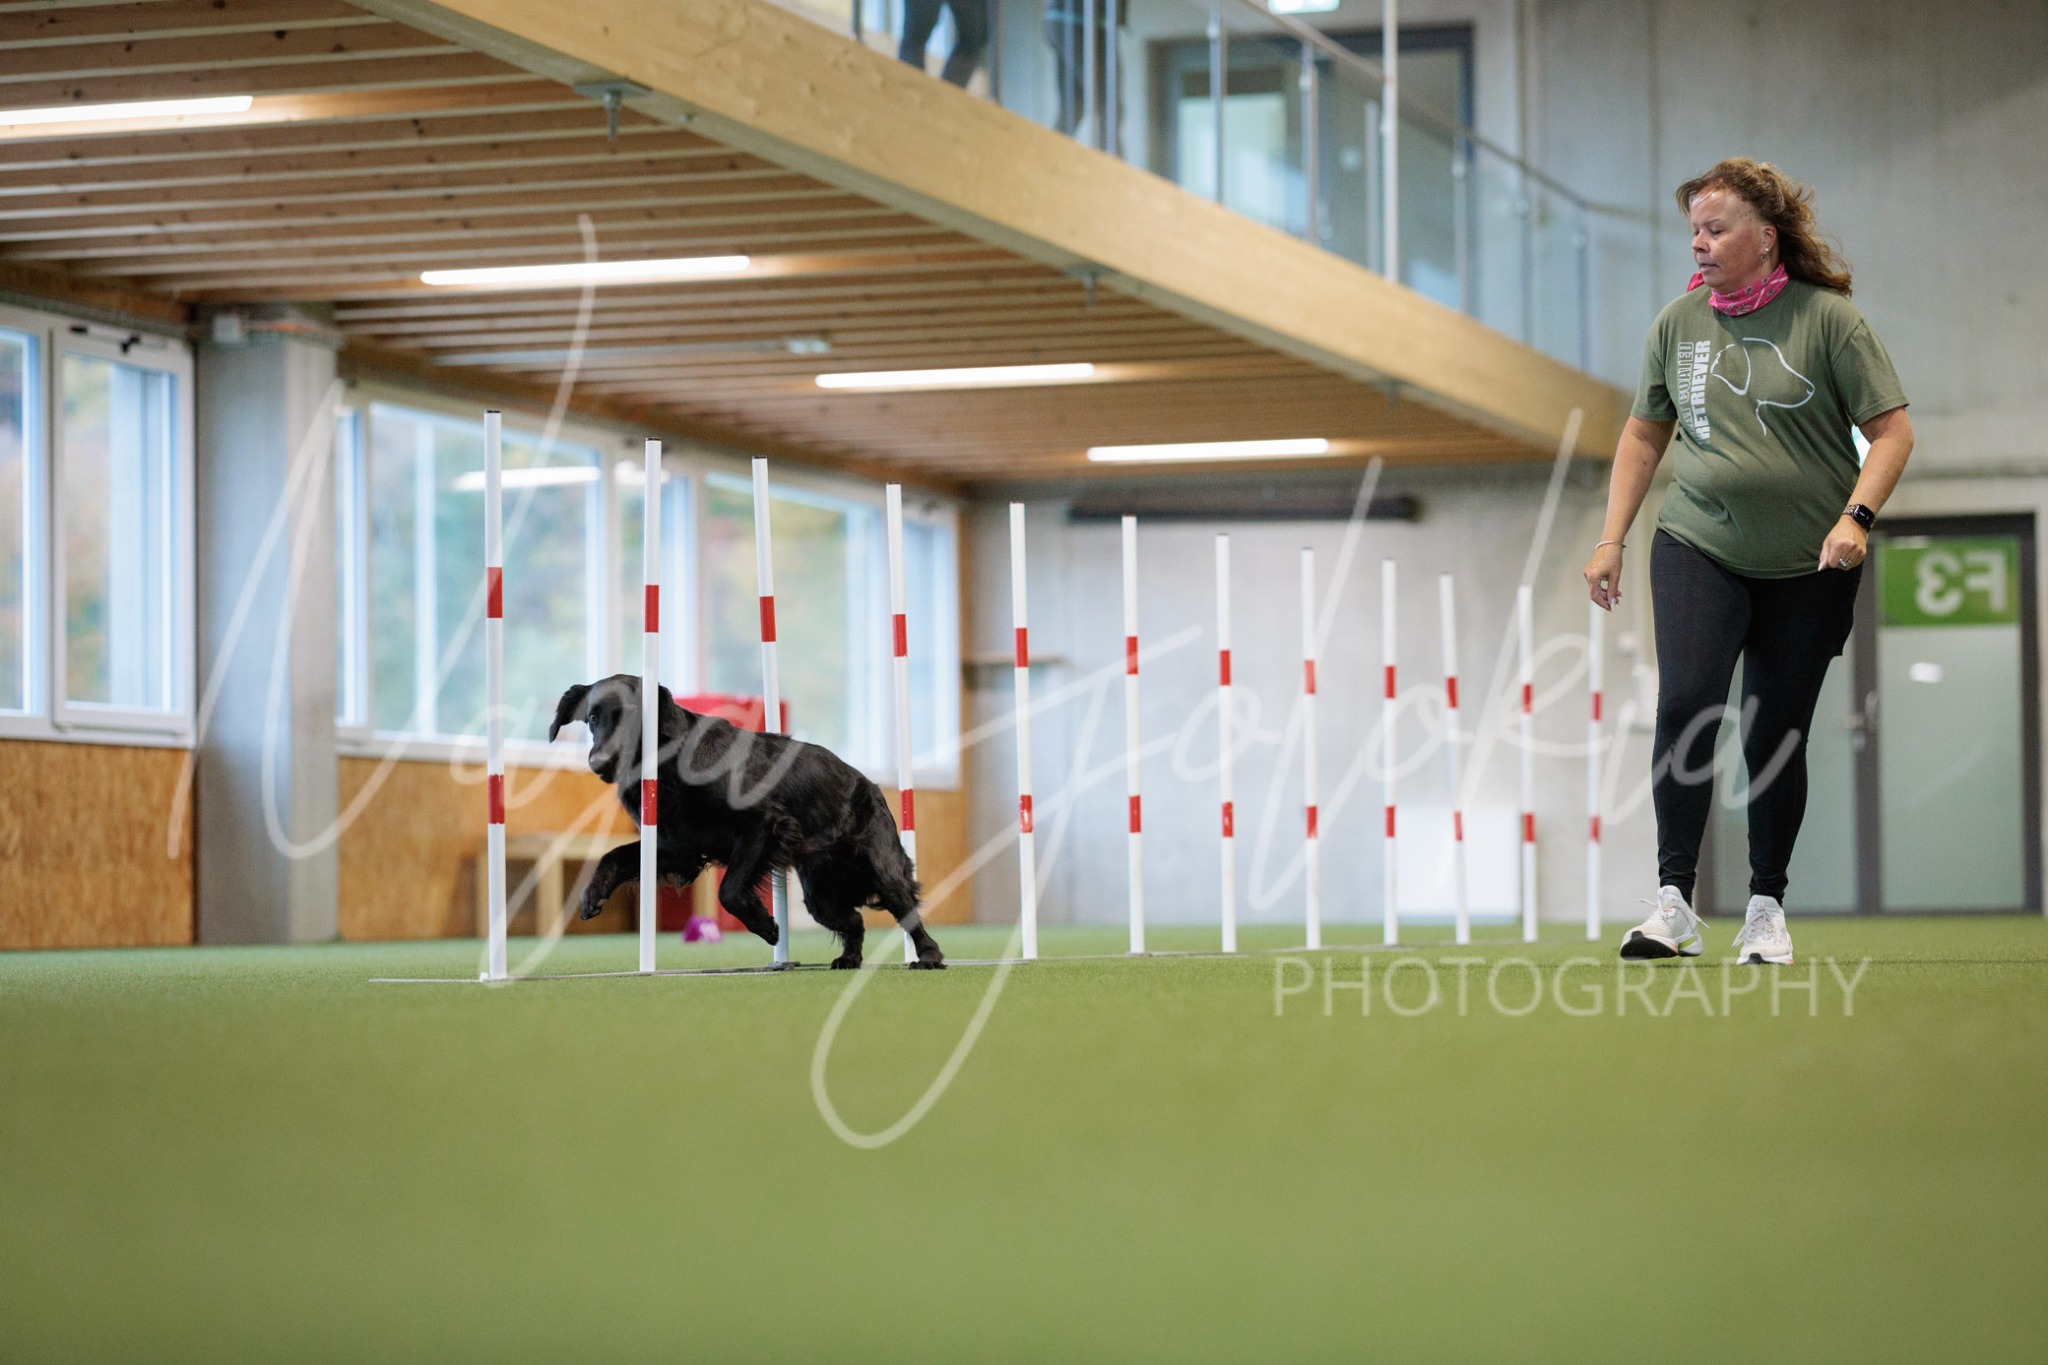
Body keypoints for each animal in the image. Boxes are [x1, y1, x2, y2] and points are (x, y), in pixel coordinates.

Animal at [549, 675, 944, 970]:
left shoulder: (761, 823)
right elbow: (613, 856)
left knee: (908, 914)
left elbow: (729, 890)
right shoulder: (678, 846)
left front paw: (764, 925)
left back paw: (928, 957)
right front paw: (593, 895)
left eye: (632, 716)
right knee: (855, 922)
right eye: (593, 718)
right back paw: (849, 958)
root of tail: (869, 784)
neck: (670, 762)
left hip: (883, 870)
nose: (598, 763)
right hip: (820, 898)